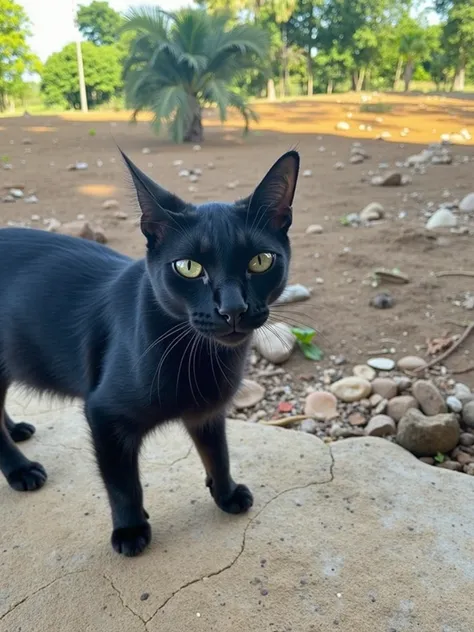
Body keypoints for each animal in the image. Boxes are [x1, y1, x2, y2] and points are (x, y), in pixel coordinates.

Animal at [0, 148, 300, 552]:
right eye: (188, 267)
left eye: (261, 261)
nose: (233, 308)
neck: (200, 358)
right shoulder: (103, 414)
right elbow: (122, 483)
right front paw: (129, 529)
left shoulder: (208, 410)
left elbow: (218, 453)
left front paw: (226, 493)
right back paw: (21, 470)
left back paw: (15, 429)